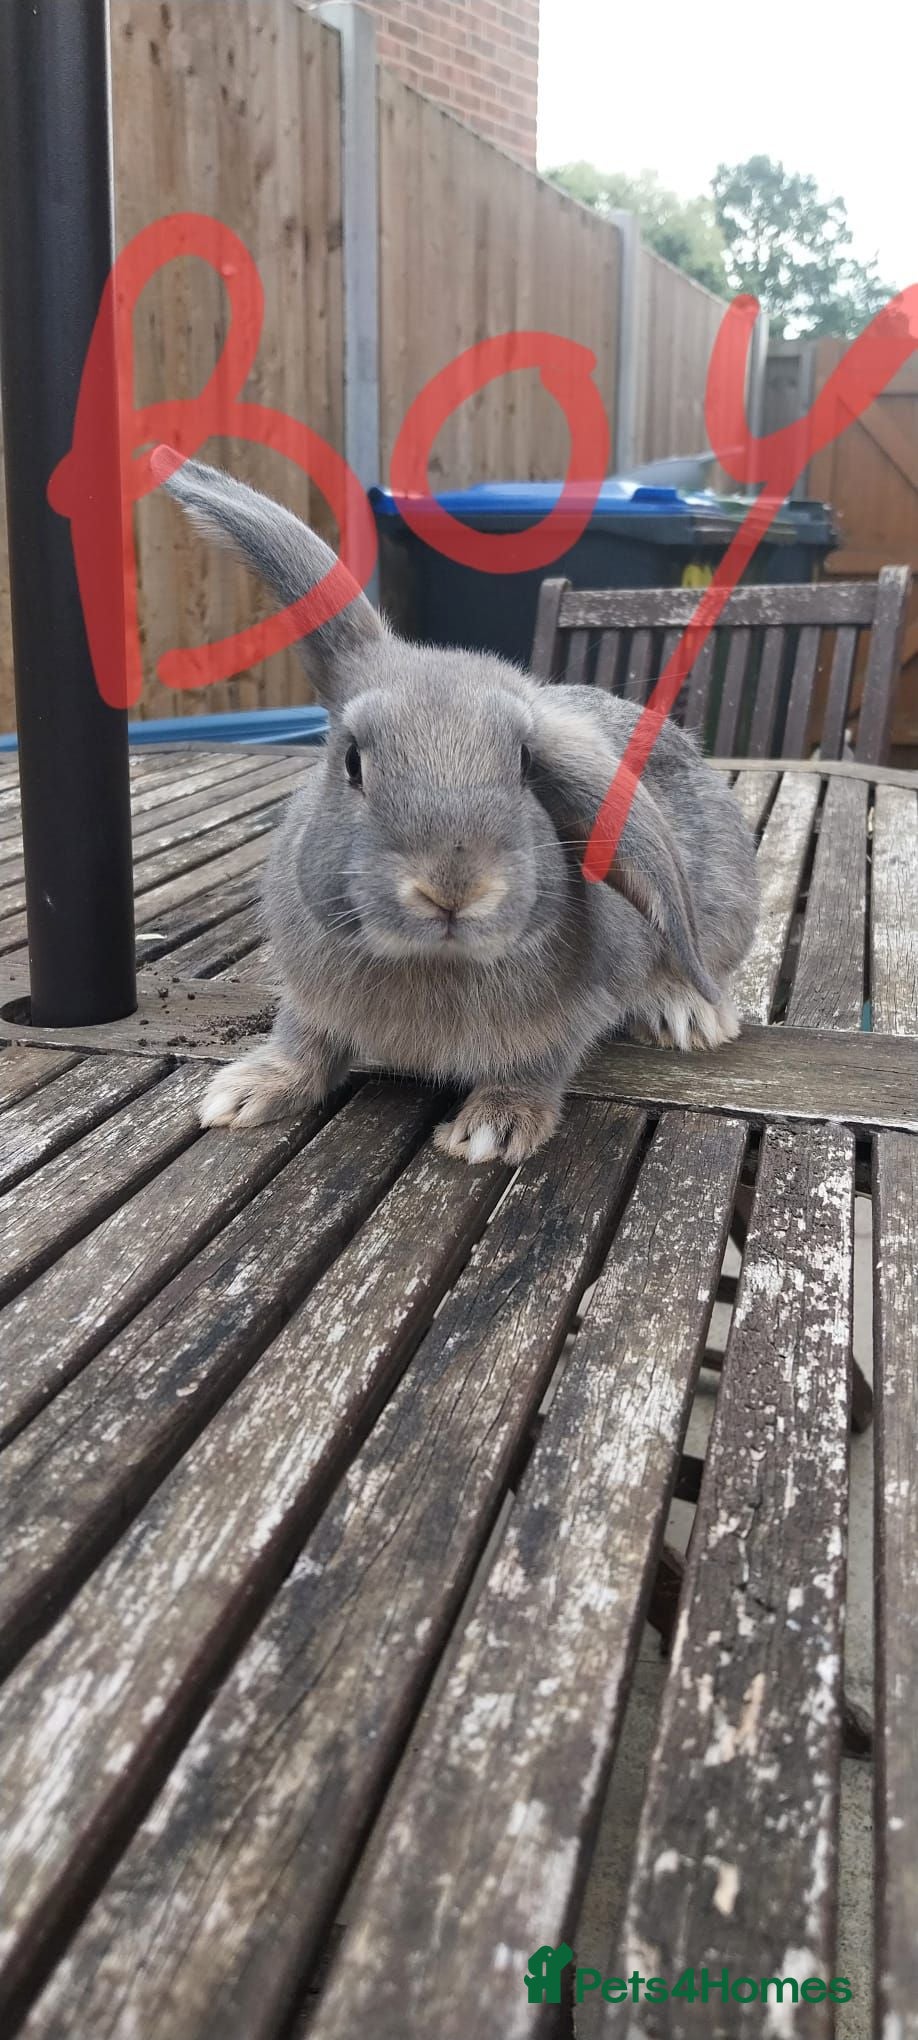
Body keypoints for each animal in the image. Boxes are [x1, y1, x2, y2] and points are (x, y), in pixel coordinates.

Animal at [159, 455, 759, 1165]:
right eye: (352, 761)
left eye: (526, 764)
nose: (454, 888)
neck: (432, 959)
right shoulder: (310, 1003)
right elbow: (303, 1043)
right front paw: (245, 1094)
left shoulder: (565, 1022)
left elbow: (537, 1067)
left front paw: (492, 1130)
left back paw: (690, 1016)